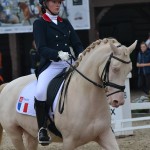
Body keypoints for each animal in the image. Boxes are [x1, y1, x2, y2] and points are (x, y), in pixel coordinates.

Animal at [0, 37, 137, 150]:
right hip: (14, 134)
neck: (87, 97)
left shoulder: (105, 134)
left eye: (129, 70)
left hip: (30, 133)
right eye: (115, 68)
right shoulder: (69, 141)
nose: (118, 101)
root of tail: (7, 85)